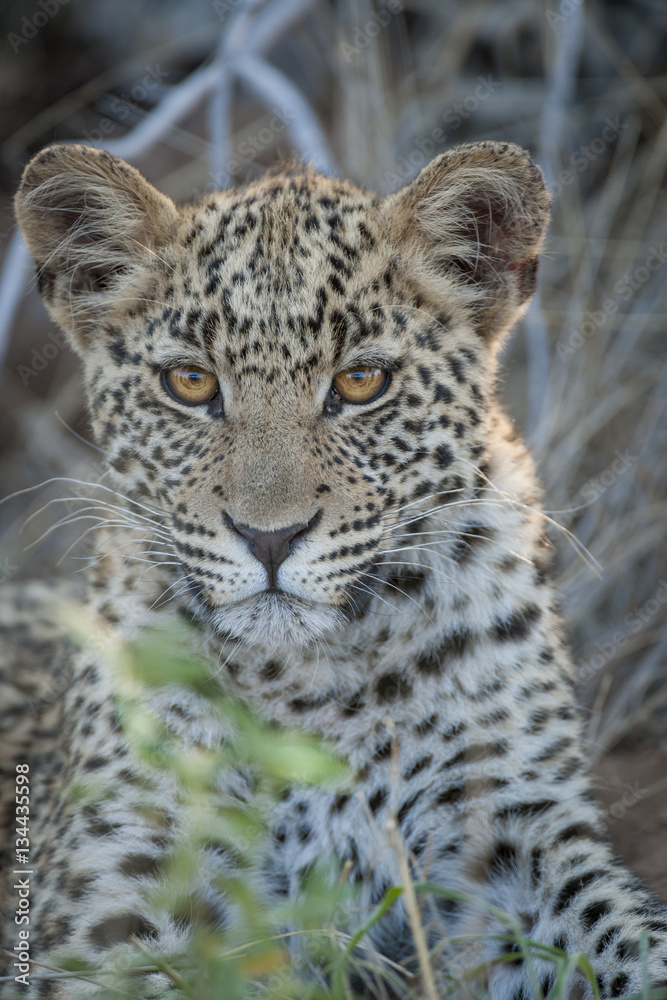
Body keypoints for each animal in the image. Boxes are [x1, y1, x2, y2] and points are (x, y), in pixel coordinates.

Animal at [2, 138, 667, 999]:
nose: (270, 539)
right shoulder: (113, 898)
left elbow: (622, 934)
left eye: (360, 381)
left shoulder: (513, 837)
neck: (308, 681)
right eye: (190, 382)